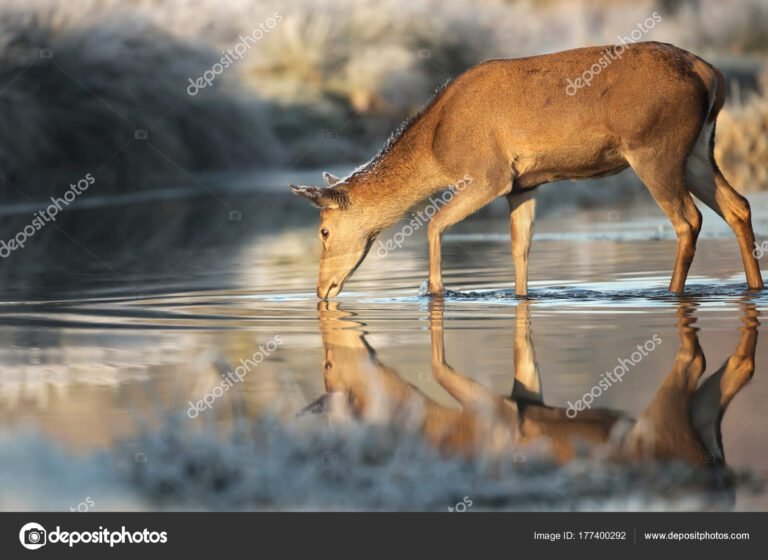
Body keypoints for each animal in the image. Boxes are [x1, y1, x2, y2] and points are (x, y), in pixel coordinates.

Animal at [291, 42, 764, 299]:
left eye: (324, 231)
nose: (322, 290)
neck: (437, 147)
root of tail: (712, 74)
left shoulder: (489, 174)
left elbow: (435, 223)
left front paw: (436, 293)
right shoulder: (524, 185)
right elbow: (521, 248)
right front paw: (520, 296)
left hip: (654, 149)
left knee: (688, 219)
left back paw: (671, 293)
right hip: (698, 151)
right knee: (738, 205)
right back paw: (754, 286)